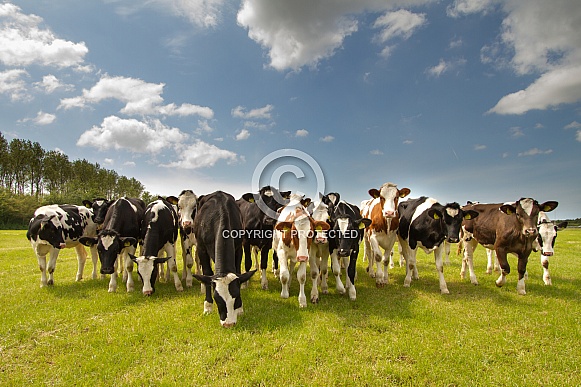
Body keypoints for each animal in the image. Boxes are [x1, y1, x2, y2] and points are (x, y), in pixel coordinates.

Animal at [191, 191, 255, 328]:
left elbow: (238, 270)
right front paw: (208, 306)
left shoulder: (238, 248)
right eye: (217, 299)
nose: (228, 324)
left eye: (237, 296)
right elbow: (207, 274)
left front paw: (240, 308)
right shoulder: (201, 248)